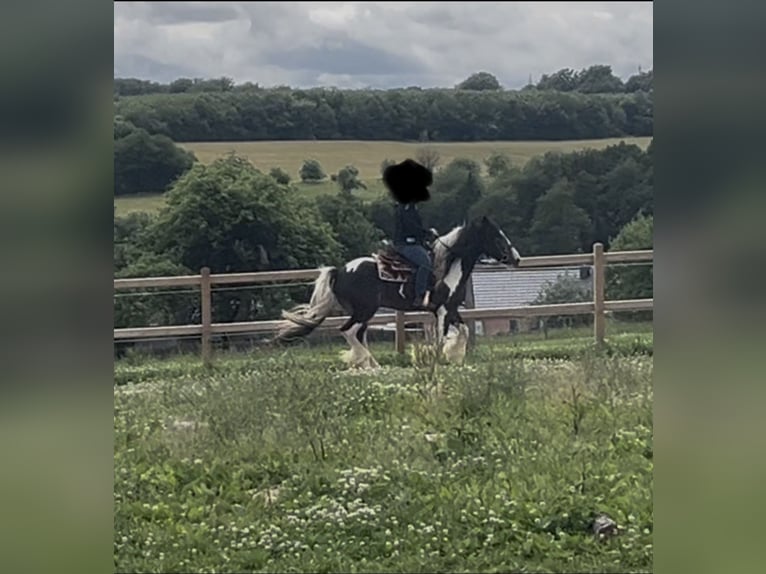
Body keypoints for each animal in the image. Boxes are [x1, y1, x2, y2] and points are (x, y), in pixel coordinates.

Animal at [273, 215, 521, 368]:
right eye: (497, 236)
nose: (516, 258)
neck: (448, 265)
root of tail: (340, 271)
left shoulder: (451, 309)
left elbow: (464, 332)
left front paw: (454, 356)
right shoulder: (442, 311)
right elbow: (441, 338)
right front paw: (435, 359)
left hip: (363, 312)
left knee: (358, 334)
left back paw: (372, 364)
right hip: (365, 310)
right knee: (348, 331)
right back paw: (364, 362)